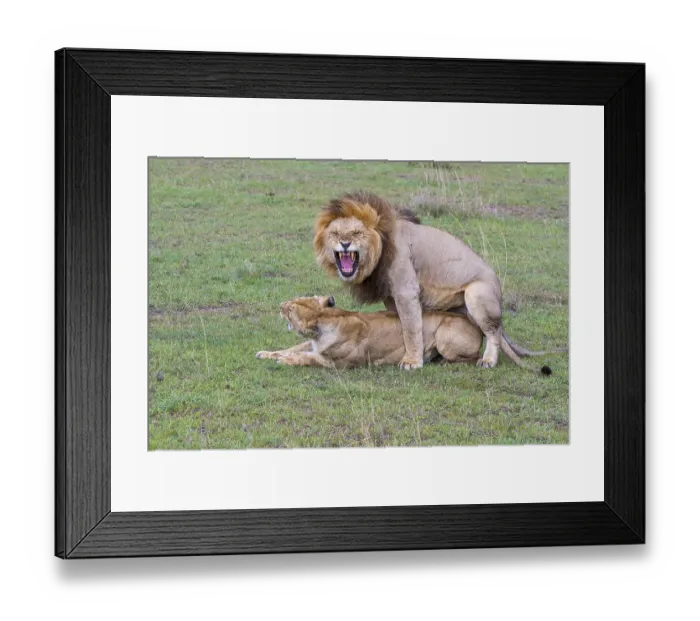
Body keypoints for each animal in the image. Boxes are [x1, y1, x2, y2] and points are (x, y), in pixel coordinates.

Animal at [256, 296, 551, 375]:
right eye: (294, 301)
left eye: (290, 309)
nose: (280, 305)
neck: (328, 321)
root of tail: (472, 320)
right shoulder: (311, 343)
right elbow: (293, 347)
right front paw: (267, 353)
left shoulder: (338, 364)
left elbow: (306, 357)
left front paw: (285, 361)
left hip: (444, 333)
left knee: (469, 359)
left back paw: (441, 362)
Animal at [313, 191, 559, 372]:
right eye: (335, 233)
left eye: (356, 233)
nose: (345, 243)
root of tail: (497, 286)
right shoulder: (391, 296)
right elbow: (402, 325)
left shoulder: (406, 290)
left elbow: (411, 327)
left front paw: (412, 362)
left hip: (476, 295)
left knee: (493, 331)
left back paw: (489, 360)